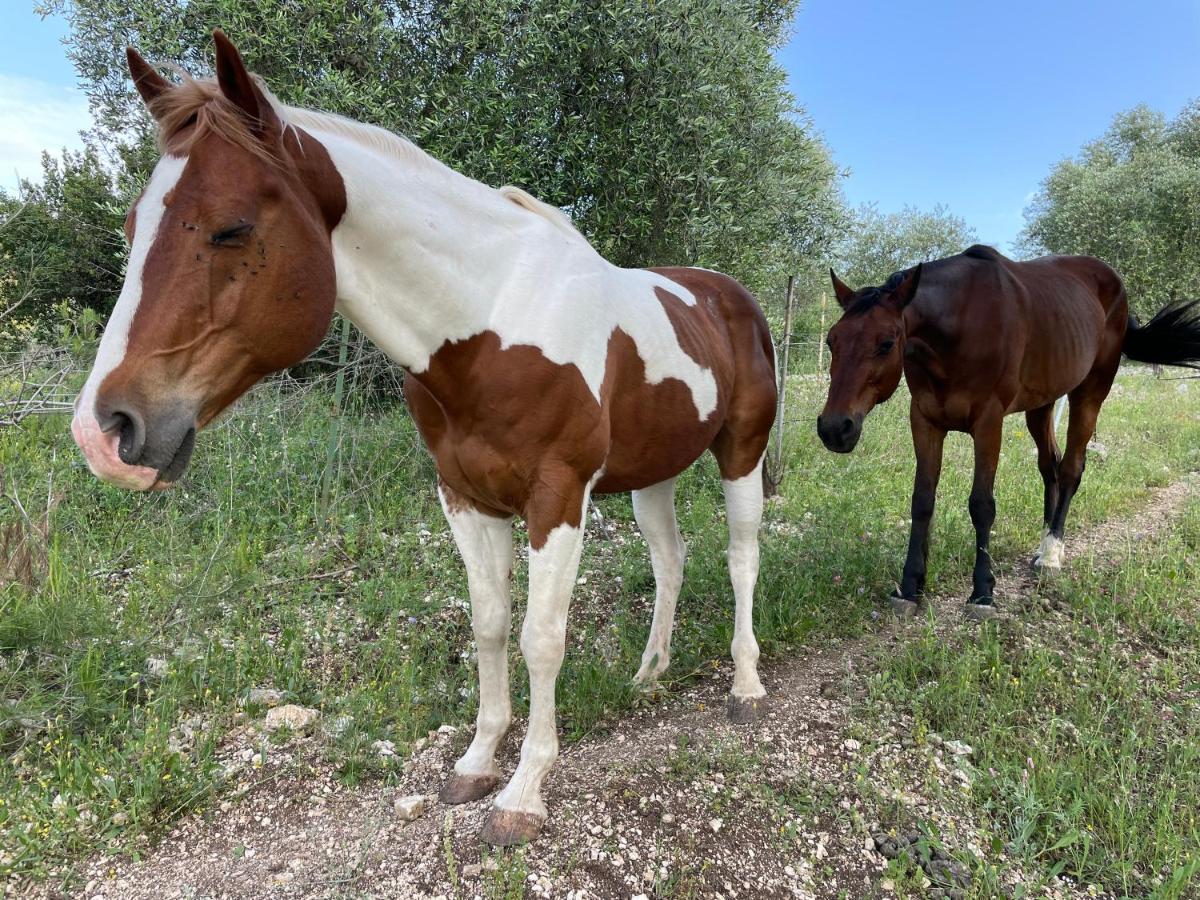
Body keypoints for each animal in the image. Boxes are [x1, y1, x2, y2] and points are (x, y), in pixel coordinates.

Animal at [70, 30, 777, 844]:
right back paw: (649, 675)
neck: (491, 322)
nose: (104, 430)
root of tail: (730, 297)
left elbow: (541, 637)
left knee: (741, 557)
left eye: (232, 227)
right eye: (132, 229)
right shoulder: (465, 499)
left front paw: (524, 793)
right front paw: (477, 763)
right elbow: (491, 626)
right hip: (653, 472)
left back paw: (746, 685)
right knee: (670, 559)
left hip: (741, 454)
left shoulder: (558, 499)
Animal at [816, 247, 1200, 619]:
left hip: (1090, 392)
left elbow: (982, 505)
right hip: (1041, 405)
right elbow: (922, 501)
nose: (835, 428)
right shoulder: (925, 421)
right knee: (1050, 468)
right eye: (832, 341)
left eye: (886, 343)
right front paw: (910, 588)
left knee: (1071, 469)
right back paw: (1043, 542)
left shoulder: (989, 422)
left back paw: (1051, 553)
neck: (960, 325)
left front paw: (983, 593)